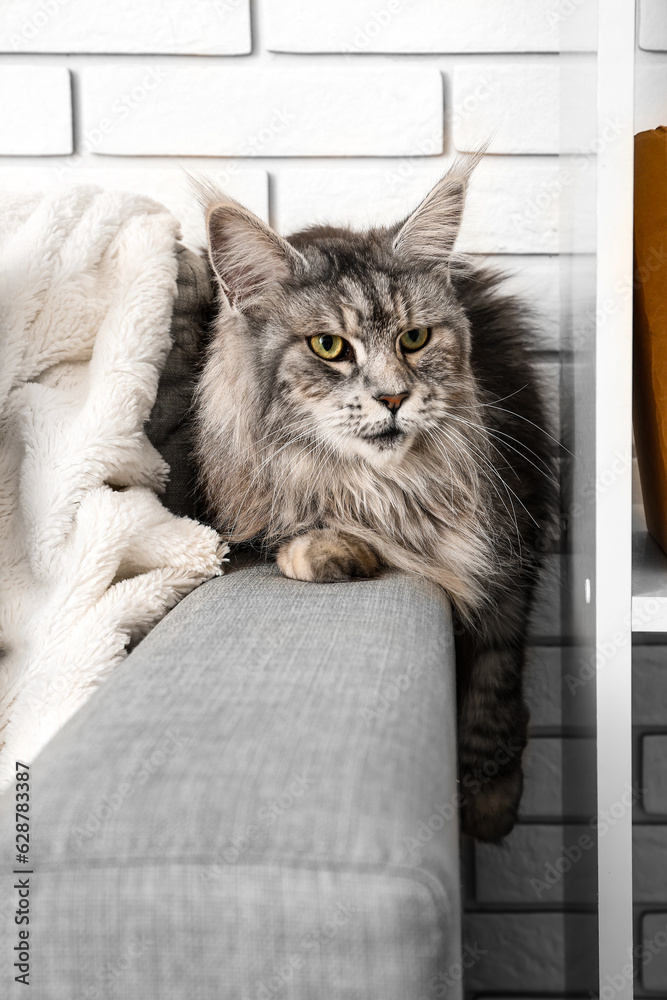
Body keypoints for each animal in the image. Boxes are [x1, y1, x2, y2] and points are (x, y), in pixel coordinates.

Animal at [193, 158, 560, 844]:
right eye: (329, 347)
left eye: (414, 338)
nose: (393, 397)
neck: (387, 487)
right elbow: (302, 533)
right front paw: (330, 551)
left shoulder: (513, 542)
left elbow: (494, 685)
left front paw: (490, 806)